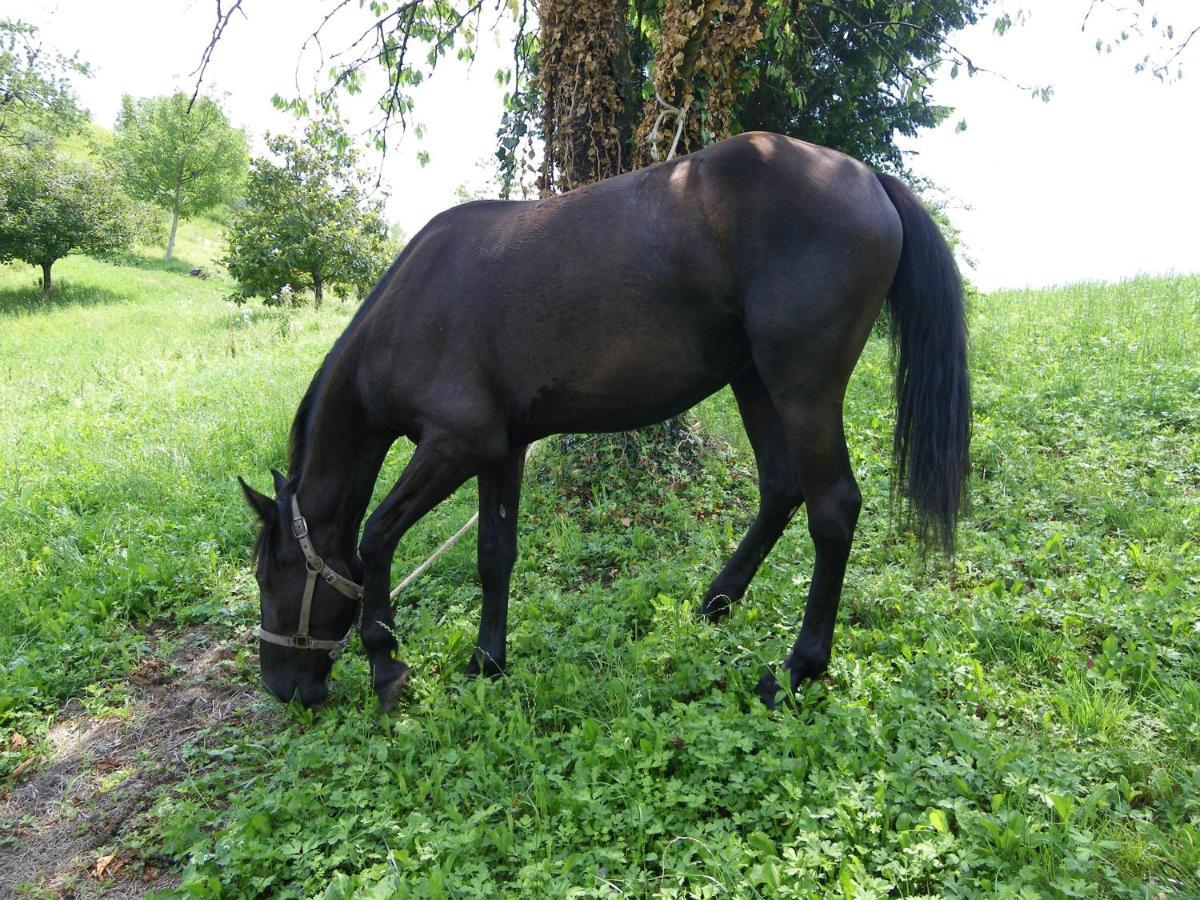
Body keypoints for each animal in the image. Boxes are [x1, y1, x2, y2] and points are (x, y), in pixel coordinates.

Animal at [238, 133, 969, 710]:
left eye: (270, 574)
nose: (280, 686)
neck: (411, 311)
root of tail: (866, 176)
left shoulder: (456, 445)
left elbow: (375, 538)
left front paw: (386, 661)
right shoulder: (500, 450)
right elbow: (494, 555)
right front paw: (487, 661)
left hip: (801, 386)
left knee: (832, 509)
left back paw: (797, 669)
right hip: (755, 381)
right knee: (781, 489)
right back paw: (716, 603)